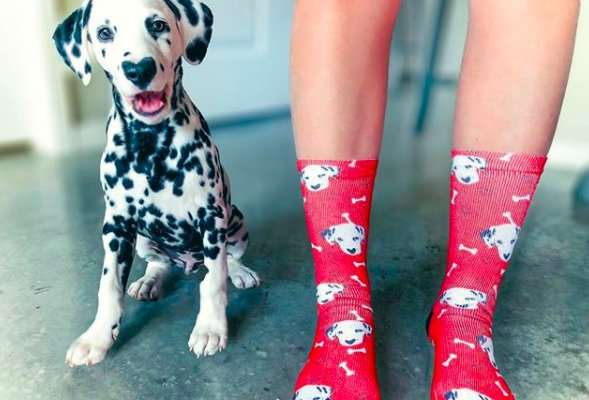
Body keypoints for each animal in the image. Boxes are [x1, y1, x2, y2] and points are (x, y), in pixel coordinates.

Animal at [53, 0, 261, 367]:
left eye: (158, 25)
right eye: (104, 33)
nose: (138, 68)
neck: (150, 146)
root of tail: (188, 263)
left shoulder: (212, 218)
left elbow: (214, 280)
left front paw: (211, 328)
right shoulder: (116, 227)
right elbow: (109, 287)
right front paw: (97, 337)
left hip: (235, 219)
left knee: (227, 260)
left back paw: (240, 272)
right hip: (144, 241)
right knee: (159, 263)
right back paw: (149, 281)